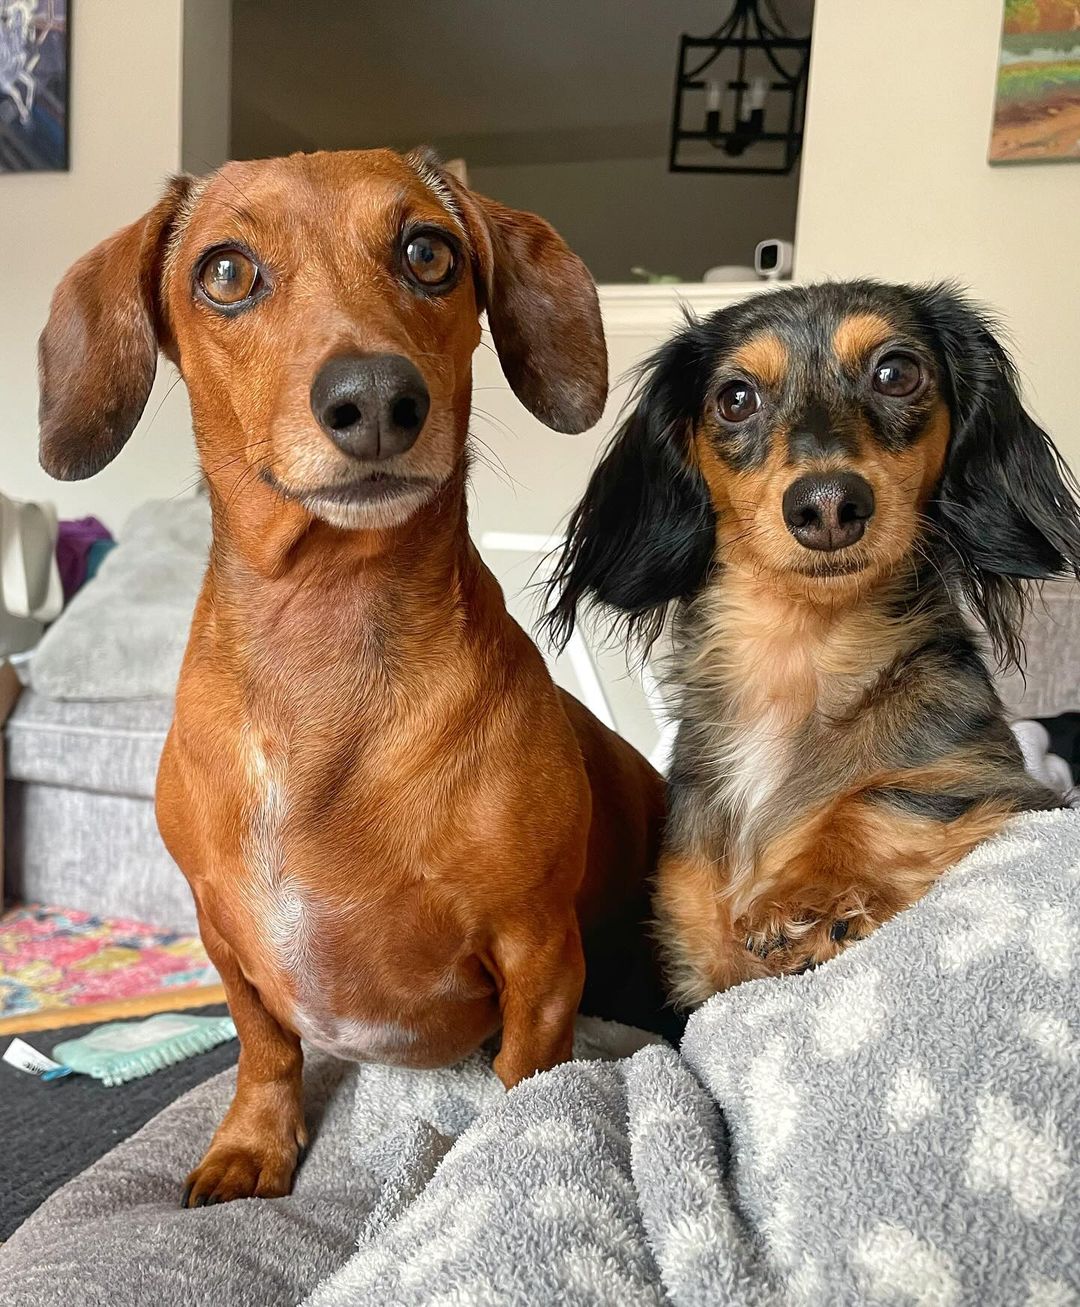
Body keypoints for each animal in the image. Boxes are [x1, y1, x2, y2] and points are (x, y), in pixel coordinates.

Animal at [546, 283, 1077, 998]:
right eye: (736, 397)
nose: (827, 505)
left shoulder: (1001, 782)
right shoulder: (699, 960)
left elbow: (879, 797)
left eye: (896, 372)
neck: (798, 649)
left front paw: (807, 892)